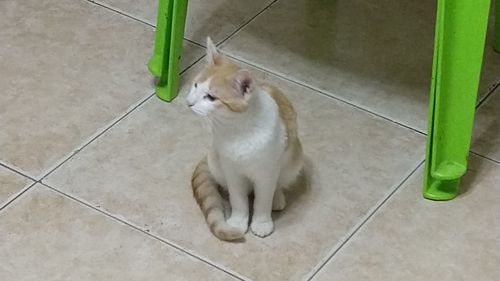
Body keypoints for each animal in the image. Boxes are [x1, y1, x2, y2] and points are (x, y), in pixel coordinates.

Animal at [188, 36, 302, 240]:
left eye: (211, 97)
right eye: (195, 86)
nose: (189, 102)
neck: (238, 130)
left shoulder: (266, 172)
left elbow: (263, 200)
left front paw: (262, 223)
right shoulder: (232, 170)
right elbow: (238, 199)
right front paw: (237, 222)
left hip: (293, 161)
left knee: (278, 184)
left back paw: (277, 197)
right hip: (216, 163)